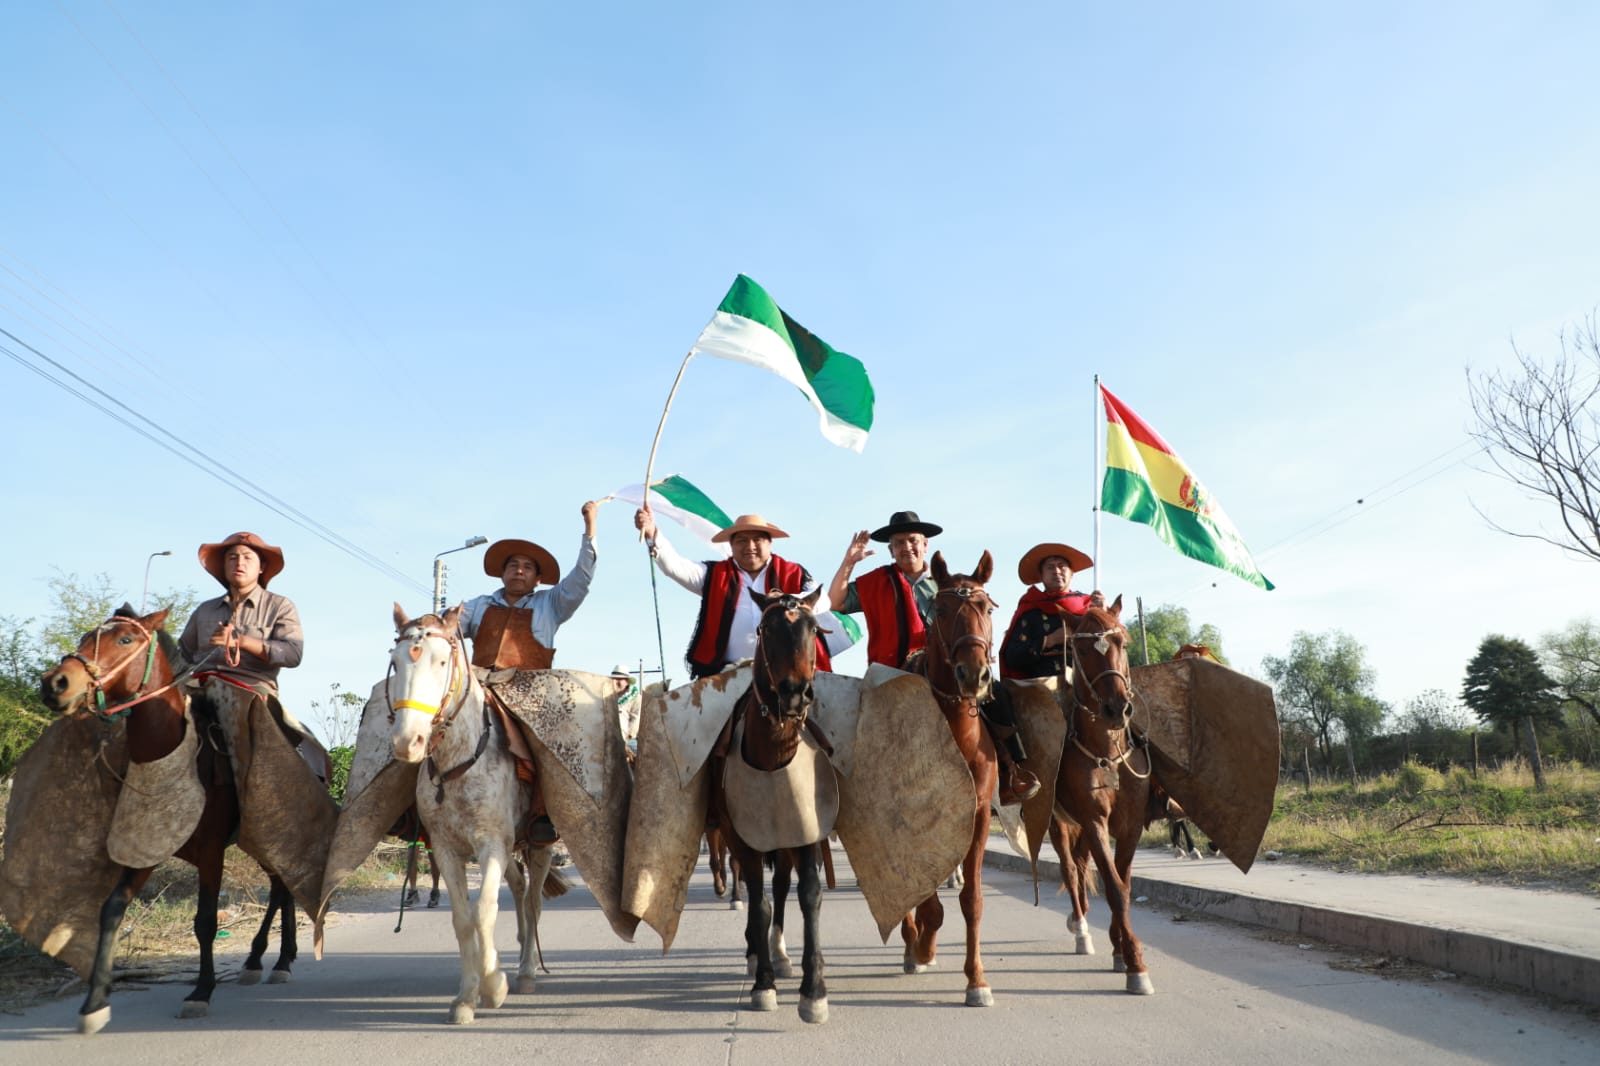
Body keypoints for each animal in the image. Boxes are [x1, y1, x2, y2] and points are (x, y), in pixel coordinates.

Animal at [39, 605, 302, 1030]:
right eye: (84, 637)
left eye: (125, 639)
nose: (56, 683)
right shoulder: (145, 849)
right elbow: (111, 910)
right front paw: (95, 1002)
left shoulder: (212, 851)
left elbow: (206, 921)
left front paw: (201, 991)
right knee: (282, 888)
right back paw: (273, 958)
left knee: (282, 887)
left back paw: (272, 960)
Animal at [387, 598, 556, 1024]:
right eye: (395, 662)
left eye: (442, 661)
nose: (407, 742)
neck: (457, 763)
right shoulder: (447, 850)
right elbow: (463, 920)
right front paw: (466, 997)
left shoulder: (490, 844)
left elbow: (484, 912)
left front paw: (494, 987)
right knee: (519, 889)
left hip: (537, 843)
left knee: (533, 901)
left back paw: (526, 972)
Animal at [716, 585, 832, 1017]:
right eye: (765, 629)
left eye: (813, 628)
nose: (794, 693)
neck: (772, 755)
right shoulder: (744, 836)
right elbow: (758, 900)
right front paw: (763, 983)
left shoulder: (806, 830)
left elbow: (808, 895)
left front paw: (813, 989)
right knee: (758, 894)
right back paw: (757, 953)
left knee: (781, 886)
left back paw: (779, 954)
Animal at [1056, 592, 1158, 992]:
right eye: (1081, 651)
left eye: (1123, 643)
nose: (1118, 708)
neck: (1107, 754)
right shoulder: (1094, 821)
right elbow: (1114, 888)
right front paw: (1136, 965)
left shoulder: (1129, 825)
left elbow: (1123, 884)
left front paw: (1121, 949)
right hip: (1060, 824)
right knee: (1071, 870)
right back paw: (1081, 927)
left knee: (1082, 865)